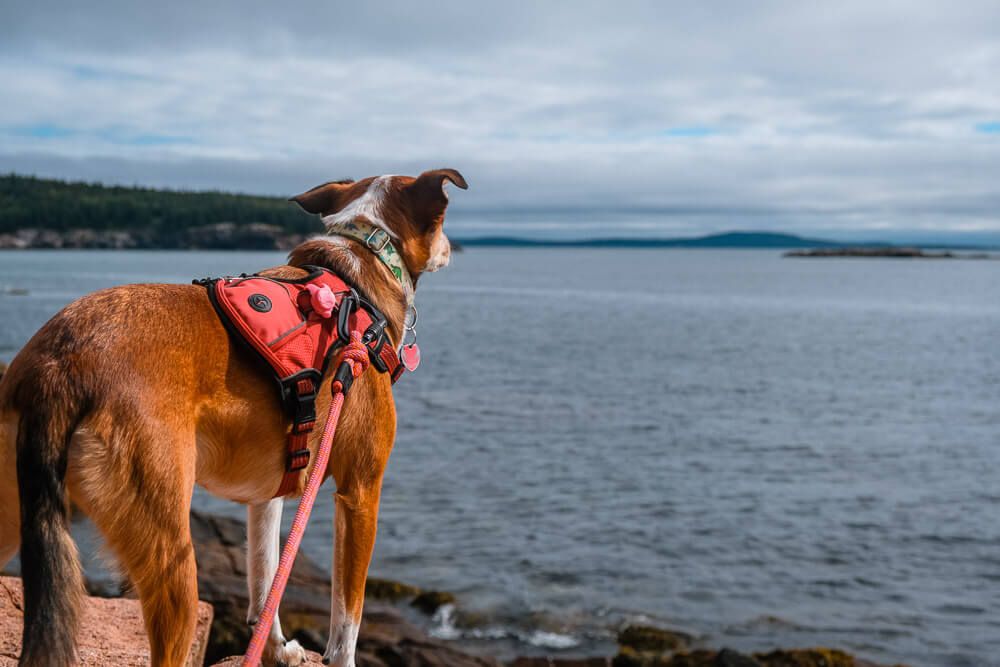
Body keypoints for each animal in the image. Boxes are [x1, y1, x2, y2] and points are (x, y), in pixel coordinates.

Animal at [0, 168, 466, 667]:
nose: (452, 248)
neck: (361, 266)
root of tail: (59, 364)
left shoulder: (271, 492)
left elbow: (265, 581)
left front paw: (275, 650)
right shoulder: (360, 492)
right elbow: (347, 622)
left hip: (13, 517)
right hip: (173, 561)